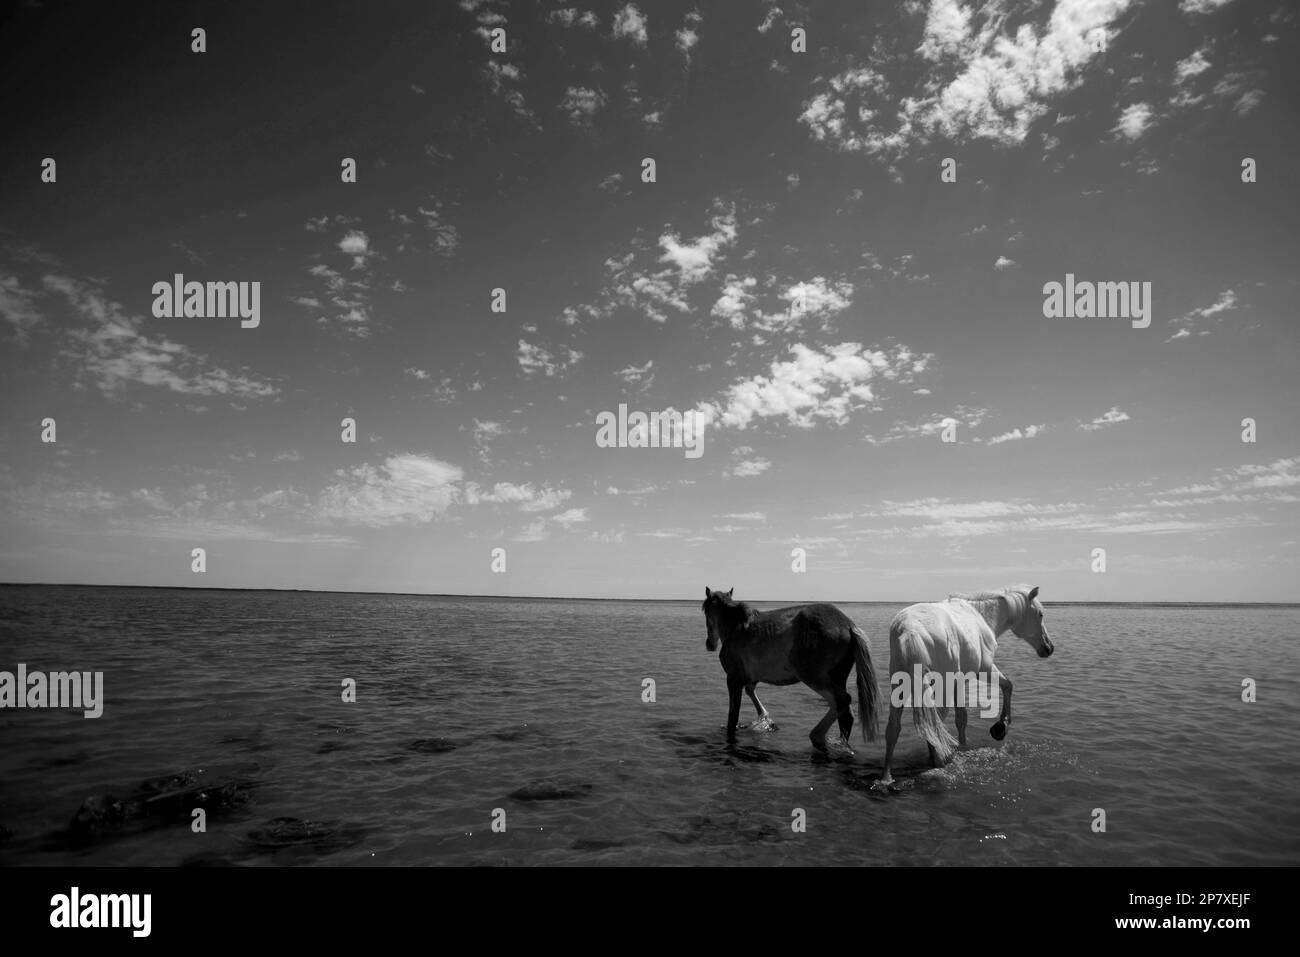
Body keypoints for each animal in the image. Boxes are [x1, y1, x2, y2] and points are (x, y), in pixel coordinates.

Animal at [701, 587, 878, 754]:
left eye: (706, 610)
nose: (710, 644)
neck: (736, 628)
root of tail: (848, 625)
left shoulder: (733, 678)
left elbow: (732, 718)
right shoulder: (751, 678)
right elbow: (751, 692)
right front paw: (766, 719)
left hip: (811, 675)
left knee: (841, 700)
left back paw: (818, 737)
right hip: (838, 675)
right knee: (846, 716)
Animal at [881, 584, 1054, 786]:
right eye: (1040, 614)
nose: (1049, 648)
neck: (982, 616)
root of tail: (910, 630)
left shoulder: (958, 683)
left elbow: (961, 719)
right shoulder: (984, 670)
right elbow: (1007, 686)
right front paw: (1001, 726)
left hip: (900, 687)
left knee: (894, 729)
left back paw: (886, 777)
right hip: (941, 689)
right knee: (935, 728)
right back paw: (939, 762)